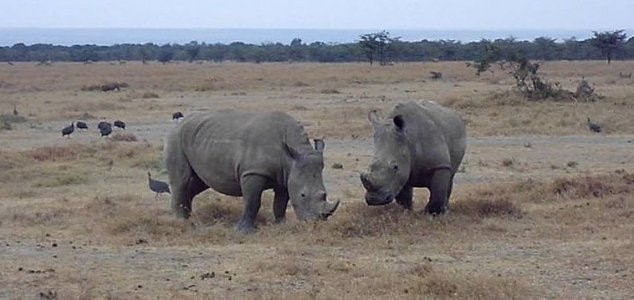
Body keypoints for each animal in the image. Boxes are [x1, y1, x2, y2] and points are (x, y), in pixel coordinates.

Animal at [165, 109, 338, 232]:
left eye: (324, 194)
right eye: (303, 195)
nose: (315, 224)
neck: (291, 156)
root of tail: (179, 122)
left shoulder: (286, 176)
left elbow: (280, 203)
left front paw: (281, 225)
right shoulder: (253, 172)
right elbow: (252, 202)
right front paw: (243, 230)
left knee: (199, 183)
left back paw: (189, 218)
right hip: (176, 139)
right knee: (182, 180)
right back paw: (181, 222)